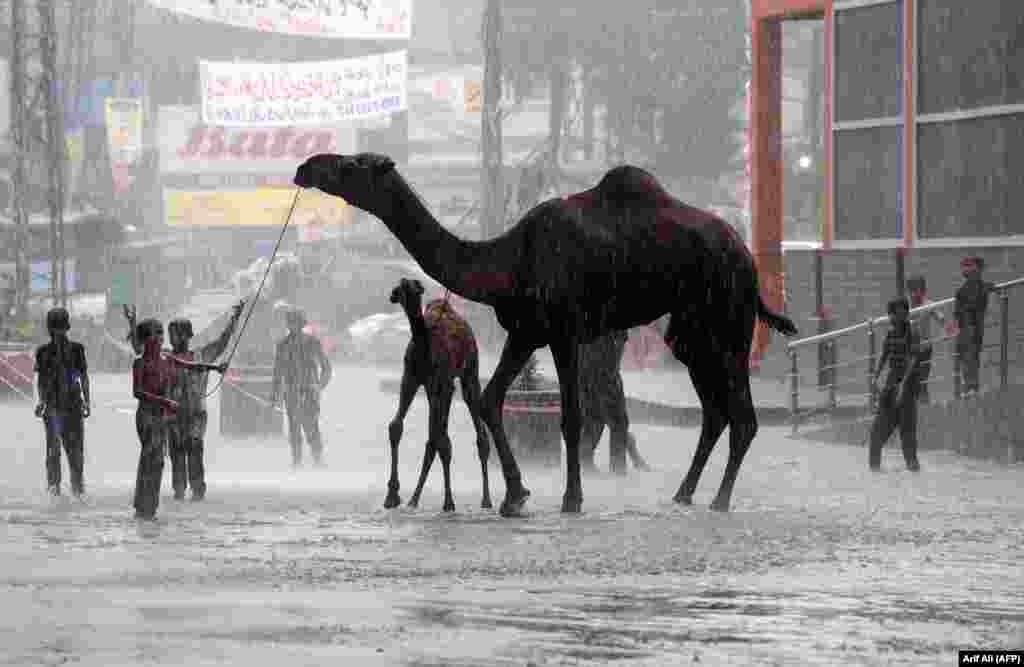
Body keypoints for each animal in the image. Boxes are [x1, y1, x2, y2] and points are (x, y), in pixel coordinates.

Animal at [385, 276, 493, 512]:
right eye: (401, 285)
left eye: (414, 286)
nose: (396, 294)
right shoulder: (411, 379)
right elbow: (396, 426)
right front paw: (392, 496)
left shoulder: (441, 383)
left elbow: (438, 440)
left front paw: (447, 501)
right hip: (436, 388)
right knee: (439, 435)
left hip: (469, 372)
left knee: (477, 432)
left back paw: (486, 500)